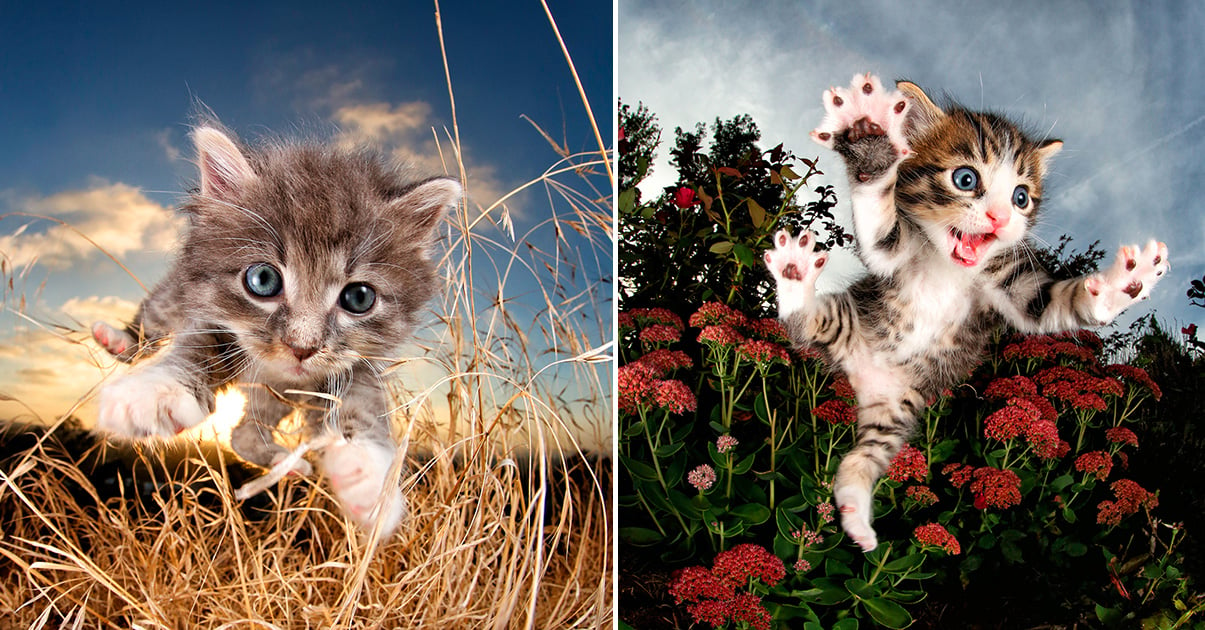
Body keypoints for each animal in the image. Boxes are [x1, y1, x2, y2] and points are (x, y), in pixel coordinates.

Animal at [92, 124, 460, 537]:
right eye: (263, 279)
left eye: (359, 297)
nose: (302, 347)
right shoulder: (213, 323)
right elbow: (194, 353)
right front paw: (153, 392)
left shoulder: (354, 366)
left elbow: (364, 409)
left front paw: (369, 481)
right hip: (173, 298)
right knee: (153, 319)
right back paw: (118, 340)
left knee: (243, 434)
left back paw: (291, 463)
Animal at [761, 75, 1166, 551]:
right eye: (966, 178)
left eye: (1021, 197)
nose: (1000, 217)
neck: (951, 268)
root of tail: (863, 376)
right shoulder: (894, 253)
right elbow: (879, 232)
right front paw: (873, 148)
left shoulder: (1011, 288)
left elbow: (1049, 305)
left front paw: (1124, 286)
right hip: (845, 319)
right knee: (801, 320)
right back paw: (794, 275)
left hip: (898, 408)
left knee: (866, 456)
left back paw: (856, 513)